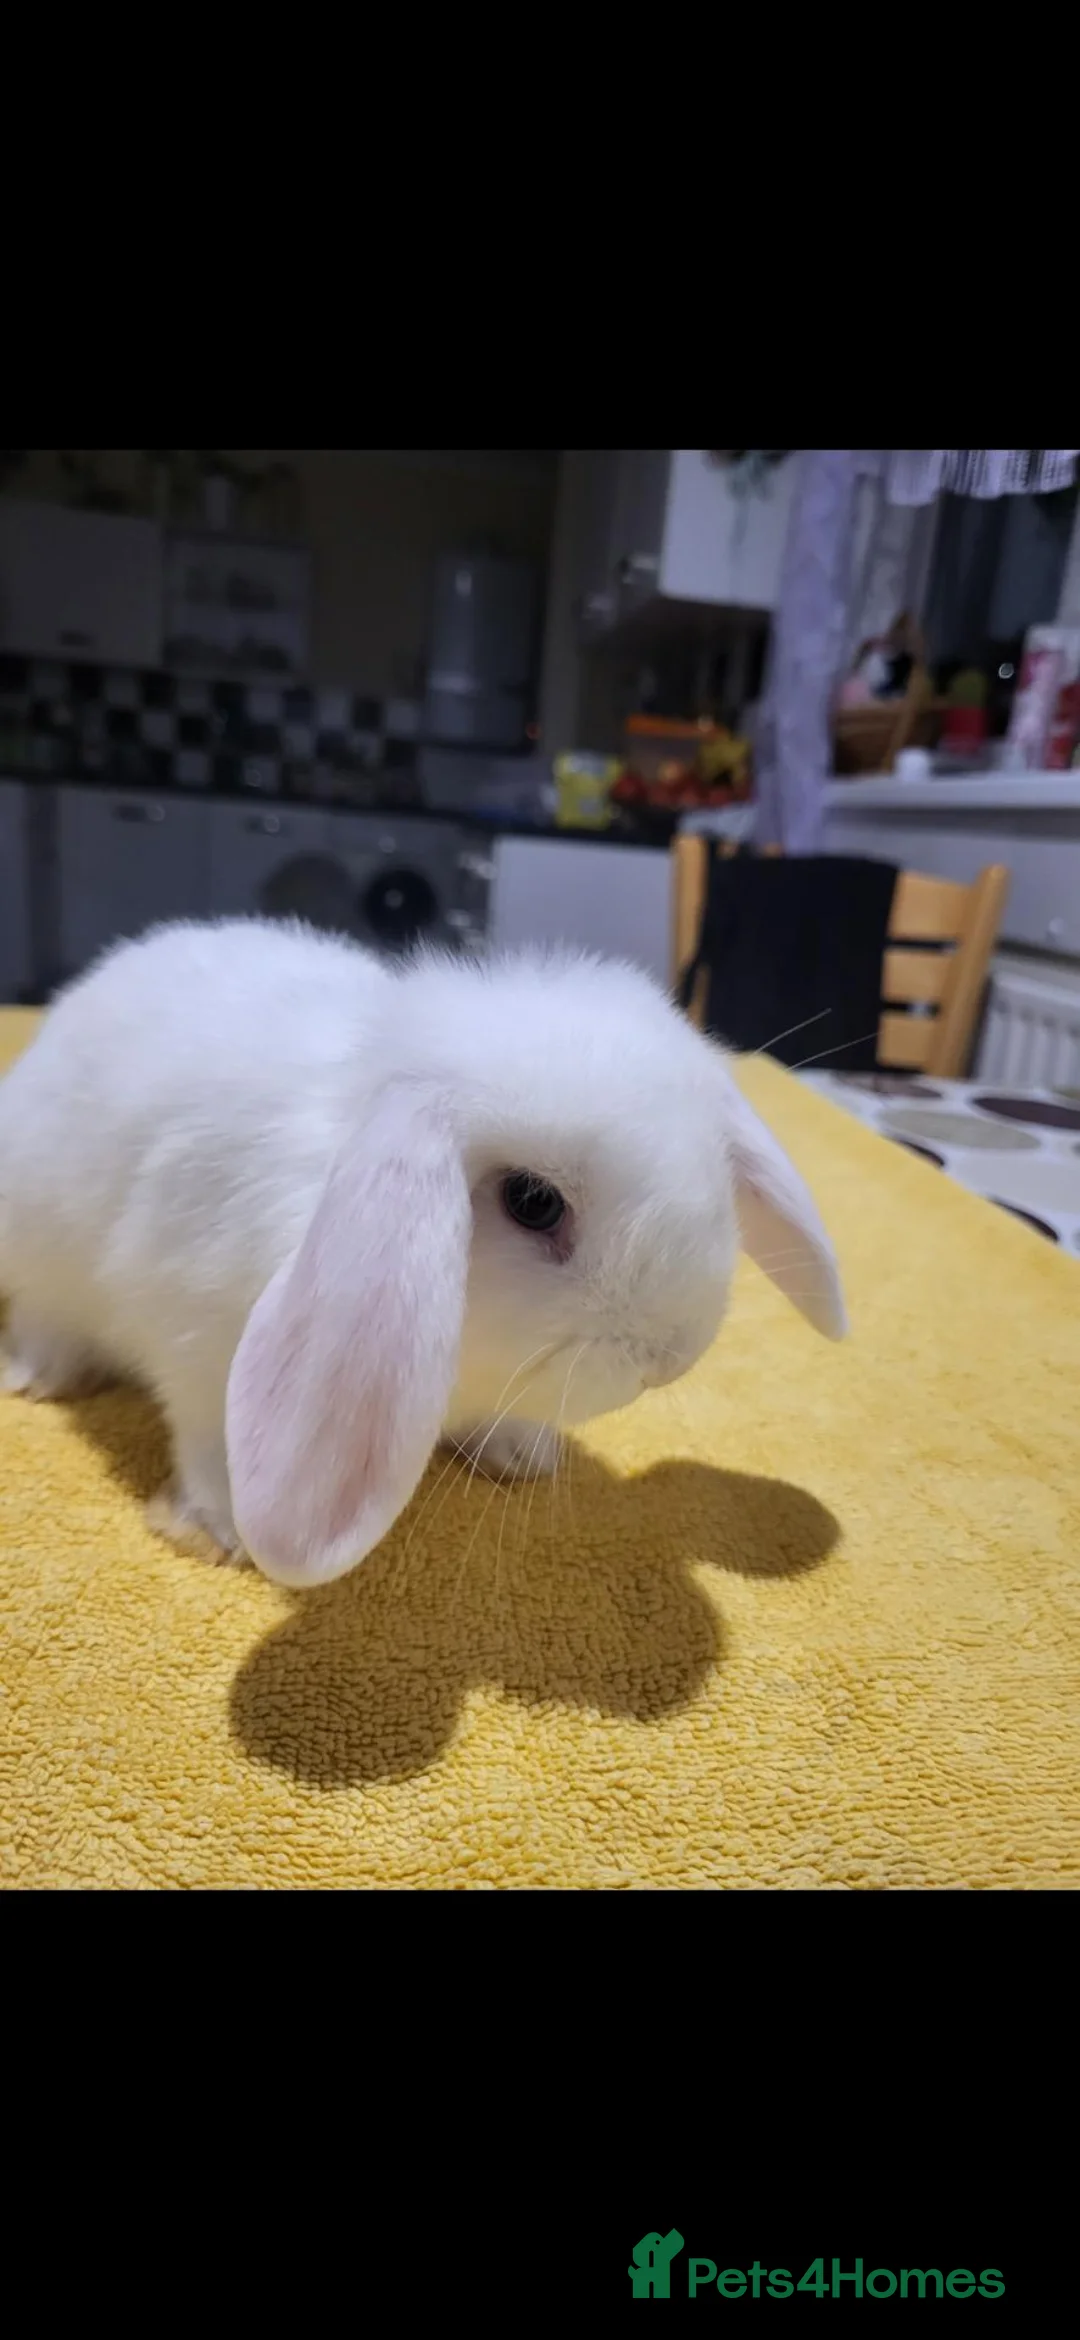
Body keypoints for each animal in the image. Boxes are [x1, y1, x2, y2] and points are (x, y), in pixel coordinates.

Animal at [0, 917, 846, 1589]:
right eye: (533, 1202)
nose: (669, 1357)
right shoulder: (195, 1341)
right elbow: (207, 1437)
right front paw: (224, 1530)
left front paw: (523, 1454)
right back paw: (38, 1376)